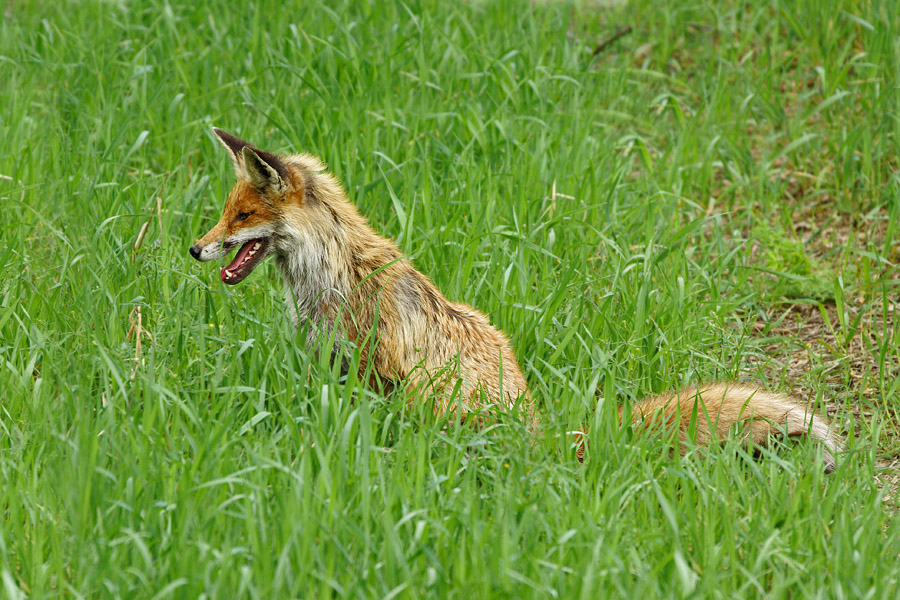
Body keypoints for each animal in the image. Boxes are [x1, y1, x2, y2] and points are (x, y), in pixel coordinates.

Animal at [188, 129, 844, 472]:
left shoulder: (372, 369)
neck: (332, 272)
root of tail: (537, 433)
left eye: (242, 217)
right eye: (226, 211)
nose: (195, 249)